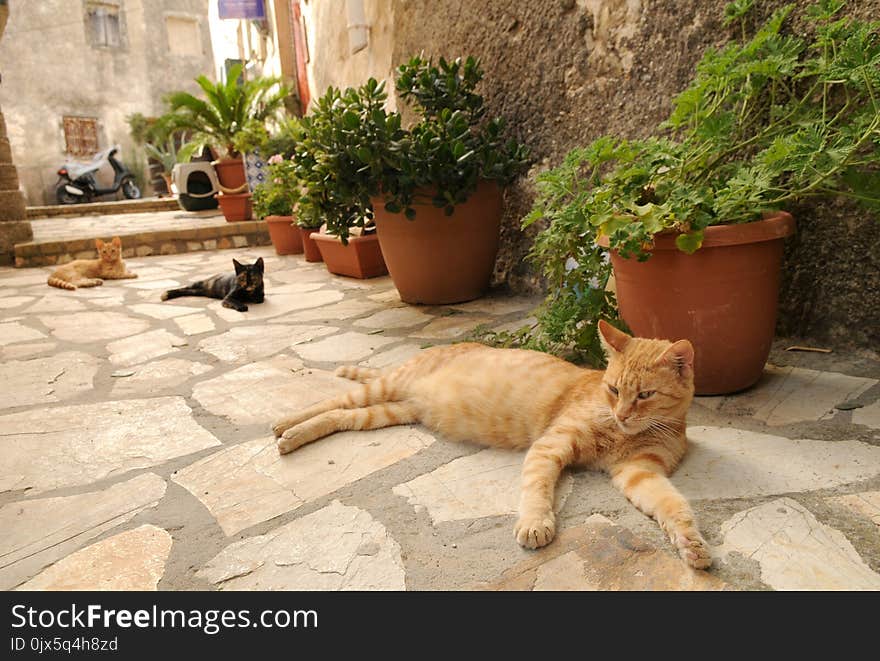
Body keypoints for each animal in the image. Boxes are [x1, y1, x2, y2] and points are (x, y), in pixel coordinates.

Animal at [272, 320, 712, 568]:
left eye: (644, 396)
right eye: (614, 389)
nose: (621, 413)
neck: (624, 433)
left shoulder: (640, 472)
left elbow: (672, 505)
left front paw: (691, 544)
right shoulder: (551, 445)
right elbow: (537, 489)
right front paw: (535, 524)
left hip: (389, 412)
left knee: (341, 417)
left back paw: (293, 435)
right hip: (384, 388)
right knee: (331, 402)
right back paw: (285, 426)